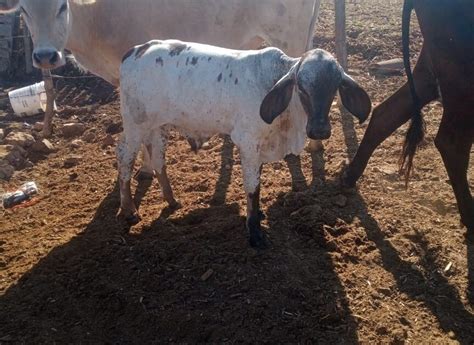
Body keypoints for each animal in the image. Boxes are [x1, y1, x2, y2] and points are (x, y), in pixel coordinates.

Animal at [117, 40, 370, 247]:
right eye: (301, 86)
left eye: (335, 87)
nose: (319, 129)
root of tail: (135, 50)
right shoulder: (248, 142)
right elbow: (253, 188)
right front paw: (255, 232)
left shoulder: (259, 146)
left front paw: (258, 215)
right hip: (134, 125)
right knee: (124, 158)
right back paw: (129, 210)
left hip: (158, 126)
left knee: (157, 158)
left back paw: (171, 201)